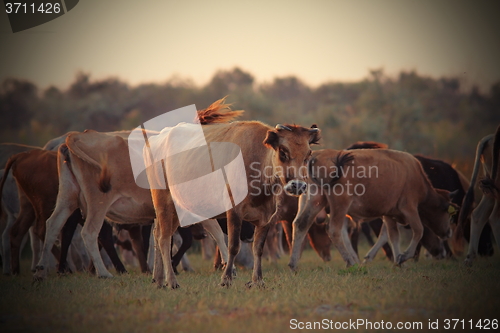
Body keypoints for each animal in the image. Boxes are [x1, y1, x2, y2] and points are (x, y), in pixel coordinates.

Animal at [288, 148, 456, 270]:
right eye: (445, 209)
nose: (448, 233)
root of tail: (316, 155)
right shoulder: (410, 208)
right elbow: (418, 230)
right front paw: (403, 257)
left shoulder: (388, 214)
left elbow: (393, 235)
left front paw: (399, 261)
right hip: (340, 204)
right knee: (334, 230)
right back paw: (350, 262)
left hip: (315, 200)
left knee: (301, 224)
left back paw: (293, 264)